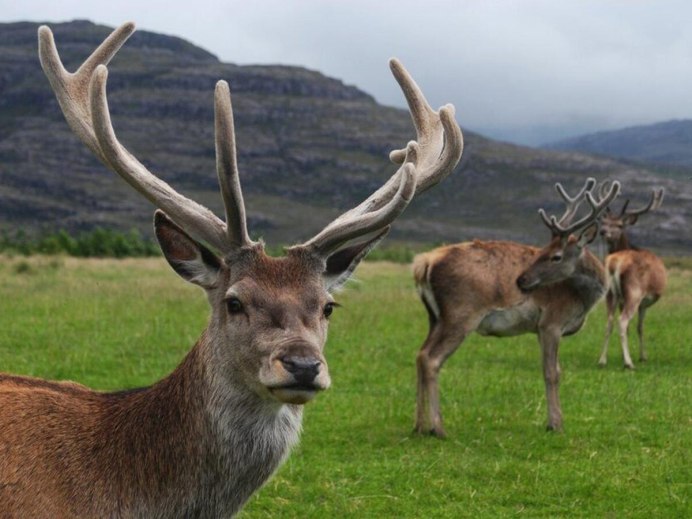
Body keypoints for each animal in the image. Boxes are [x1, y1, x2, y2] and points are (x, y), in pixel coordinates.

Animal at [412, 178, 620, 436]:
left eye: (555, 255)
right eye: (543, 251)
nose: (521, 280)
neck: (581, 299)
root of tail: (424, 263)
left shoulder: (541, 329)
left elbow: (555, 369)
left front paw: (555, 420)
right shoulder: (552, 322)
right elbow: (552, 372)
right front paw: (555, 424)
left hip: (434, 317)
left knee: (420, 354)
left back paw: (419, 425)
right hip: (460, 315)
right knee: (432, 359)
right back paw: (438, 427)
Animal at [597, 186, 667, 369]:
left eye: (619, 224)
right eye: (604, 223)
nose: (602, 231)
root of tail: (615, 262)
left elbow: (633, 328)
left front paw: (626, 356)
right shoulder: (644, 302)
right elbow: (640, 327)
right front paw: (642, 356)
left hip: (610, 293)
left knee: (609, 322)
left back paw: (602, 360)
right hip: (634, 292)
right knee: (622, 322)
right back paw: (629, 363)